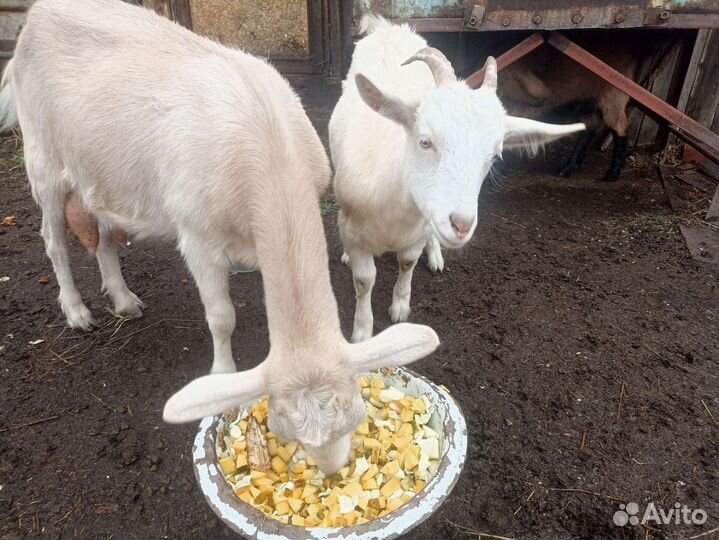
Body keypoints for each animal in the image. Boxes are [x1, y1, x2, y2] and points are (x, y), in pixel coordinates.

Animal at [1, 0, 440, 473]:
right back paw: (77, 311)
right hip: (41, 155)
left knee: (101, 233)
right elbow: (221, 316)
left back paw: (122, 299)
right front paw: (222, 376)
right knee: (54, 241)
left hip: (97, 169)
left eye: (355, 415)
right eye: (285, 429)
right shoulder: (197, 237)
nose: (330, 470)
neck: (266, 145)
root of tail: (39, 13)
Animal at [329, 16, 584, 342]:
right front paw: (362, 333)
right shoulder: (354, 231)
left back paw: (436, 256)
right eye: (425, 141)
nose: (461, 225)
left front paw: (400, 308)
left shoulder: (420, 228)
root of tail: (389, 27)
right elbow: (364, 280)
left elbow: (407, 263)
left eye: (494, 156)